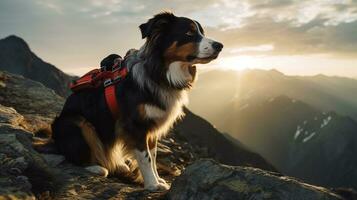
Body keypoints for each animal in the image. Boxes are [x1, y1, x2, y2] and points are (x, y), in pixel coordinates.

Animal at [50, 12, 222, 191]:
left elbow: (153, 156)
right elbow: (145, 158)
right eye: (189, 33)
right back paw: (96, 167)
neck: (159, 73)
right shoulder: (136, 125)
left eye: (202, 32)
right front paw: (152, 184)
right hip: (76, 122)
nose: (220, 46)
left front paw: (158, 180)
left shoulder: (151, 125)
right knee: (74, 155)